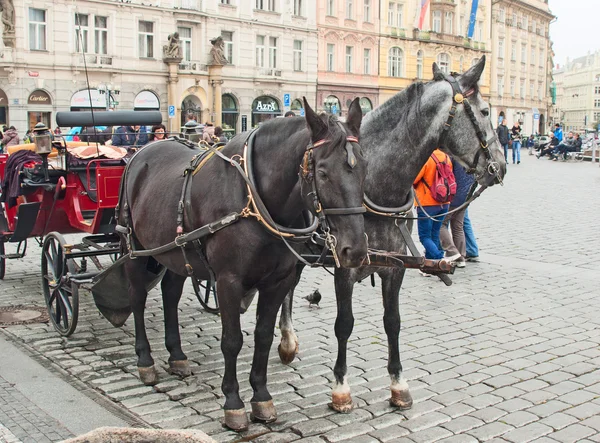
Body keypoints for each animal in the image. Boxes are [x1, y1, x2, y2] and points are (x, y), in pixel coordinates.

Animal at [116, 97, 368, 430]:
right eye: (324, 173)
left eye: (364, 167)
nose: (355, 250)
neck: (255, 199)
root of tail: (141, 152)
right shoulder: (228, 281)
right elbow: (232, 340)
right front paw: (233, 403)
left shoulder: (278, 281)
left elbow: (263, 336)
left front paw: (261, 397)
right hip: (136, 249)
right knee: (137, 298)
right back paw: (145, 360)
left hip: (176, 252)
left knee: (170, 293)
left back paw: (177, 355)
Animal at [276, 57, 506, 414]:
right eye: (484, 111)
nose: (501, 165)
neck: (376, 187)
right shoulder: (345, 269)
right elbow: (344, 323)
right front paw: (341, 388)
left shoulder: (395, 269)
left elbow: (392, 321)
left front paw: (398, 383)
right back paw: (286, 340)